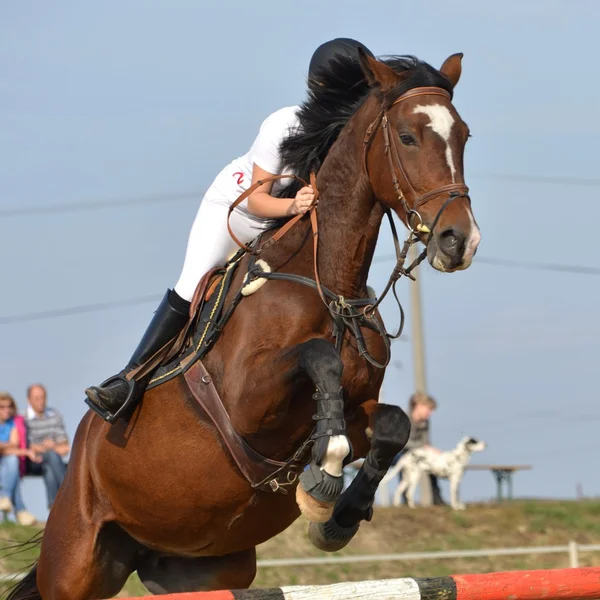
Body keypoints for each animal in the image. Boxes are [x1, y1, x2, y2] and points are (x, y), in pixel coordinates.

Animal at [8, 50, 478, 600]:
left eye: (464, 135)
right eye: (407, 137)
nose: (460, 241)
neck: (329, 283)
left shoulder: (358, 409)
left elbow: (393, 424)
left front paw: (339, 517)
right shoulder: (249, 402)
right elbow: (319, 360)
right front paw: (324, 481)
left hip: (201, 569)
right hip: (74, 562)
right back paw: (112, 393)